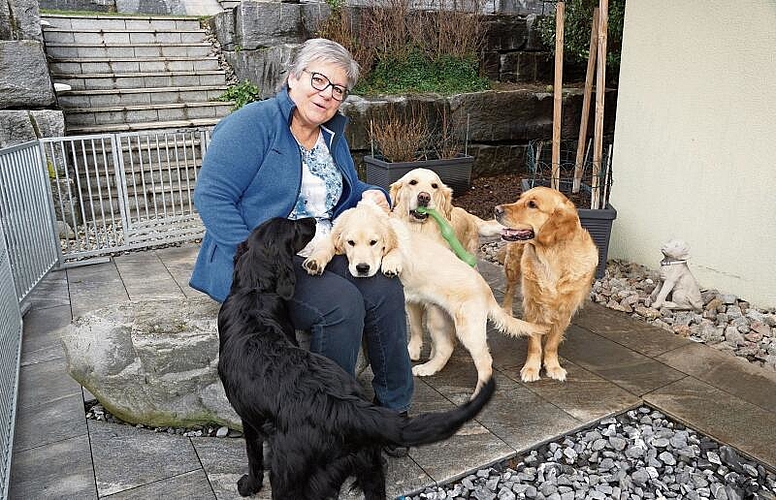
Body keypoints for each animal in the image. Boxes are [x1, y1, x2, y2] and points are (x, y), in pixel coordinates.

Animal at [217, 218, 498, 500]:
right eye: (294, 228)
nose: (312, 221)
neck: (254, 293)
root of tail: (343, 409)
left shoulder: (248, 422)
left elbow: (253, 458)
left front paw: (249, 485)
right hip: (369, 468)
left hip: (291, 477)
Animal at [304, 201, 544, 396]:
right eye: (351, 243)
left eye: (374, 242)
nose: (362, 269)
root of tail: (486, 290)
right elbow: (326, 244)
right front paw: (316, 261)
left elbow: (396, 249)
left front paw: (390, 263)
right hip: (437, 318)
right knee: (446, 347)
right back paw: (427, 368)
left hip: (469, 327)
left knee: (485, 361)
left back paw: (477, 395)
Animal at [388, 169, 504, 364]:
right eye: (413, 182)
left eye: (434, 186)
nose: (424, 197)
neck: (420, 231)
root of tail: (468, 214)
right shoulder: (410, 294)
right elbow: (415, 325)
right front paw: (413, 350)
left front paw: (435, 354)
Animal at [494, 188, 596, 382]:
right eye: (519, 199)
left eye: (532, 204)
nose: (496, 209)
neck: (552, 258)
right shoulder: (533, 306)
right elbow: (535, 344)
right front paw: (531, 369)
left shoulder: (565, 311)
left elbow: (551, 344)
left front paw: (553, 366)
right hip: (513, 266)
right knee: (509, 289)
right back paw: (507, 313)